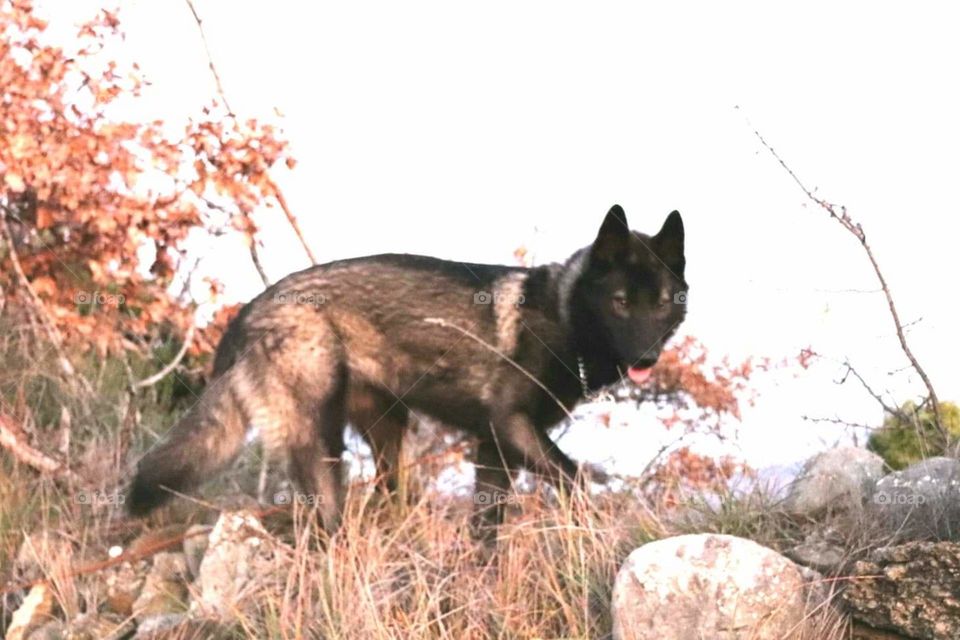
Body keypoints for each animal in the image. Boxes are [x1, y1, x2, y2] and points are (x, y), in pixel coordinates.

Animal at [127, 204, 687, 534]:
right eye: (620, 302)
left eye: (661, 303)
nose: (646, 359)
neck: (563, 316)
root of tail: (248, 312)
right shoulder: (511, 426)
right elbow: (575, 480)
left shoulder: (495, 447)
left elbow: (488, 520)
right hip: (321, 443)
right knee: (326, 519)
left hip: (387, 431)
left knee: (388, 494)